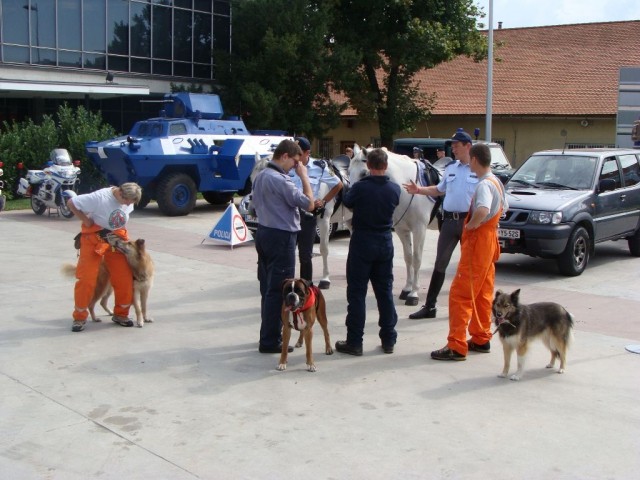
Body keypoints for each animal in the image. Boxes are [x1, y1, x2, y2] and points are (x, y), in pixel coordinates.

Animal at [348, 144, 438, 306]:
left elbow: (417, 259)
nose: (350, 203)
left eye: (364, 173)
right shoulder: (403, 230)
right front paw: (407, 289)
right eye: (349, 171)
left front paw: (414, 294)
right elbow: (408, 257)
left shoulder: (419, 229)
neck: (408, 189)